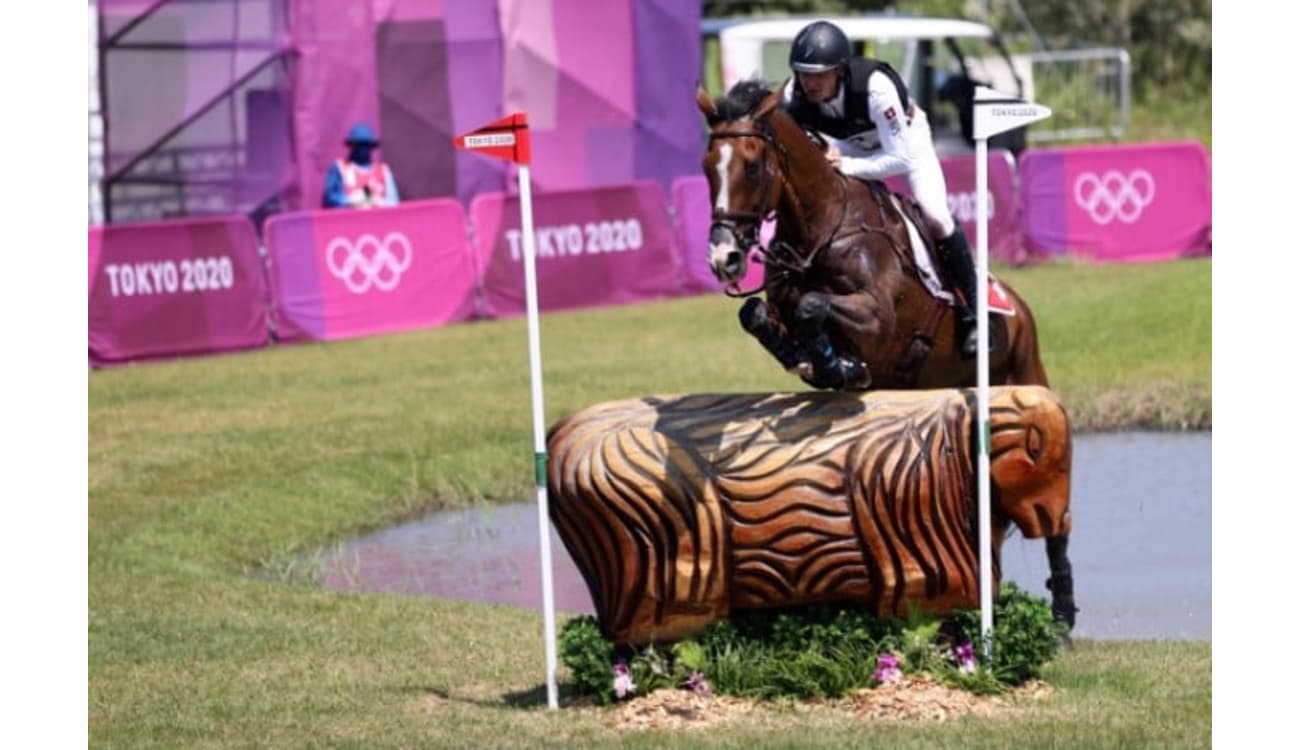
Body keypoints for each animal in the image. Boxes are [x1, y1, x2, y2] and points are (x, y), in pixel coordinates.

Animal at [702, 78, 1076, 629]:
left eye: (752, 165)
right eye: (708, 165)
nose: (723, 258)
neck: (820, 227)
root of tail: (1019, 307)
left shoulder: (875, 318)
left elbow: (815, 306)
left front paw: (837, 363)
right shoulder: (779, 303)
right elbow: (757, 315)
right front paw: (814, 360)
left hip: (1026, 378)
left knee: (1055, 514)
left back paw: (1063, 616)